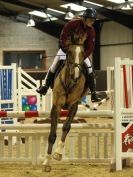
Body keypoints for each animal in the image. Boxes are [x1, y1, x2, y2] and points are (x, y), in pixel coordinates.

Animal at [42, 32, 88, 171]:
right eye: (70, 52)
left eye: (83, 54)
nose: (76, 76)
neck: (69, 82)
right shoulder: (56, 106)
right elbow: (52, 134)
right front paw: (47, 161)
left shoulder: (74, 105)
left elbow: (66, 127)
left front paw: (58, 153)